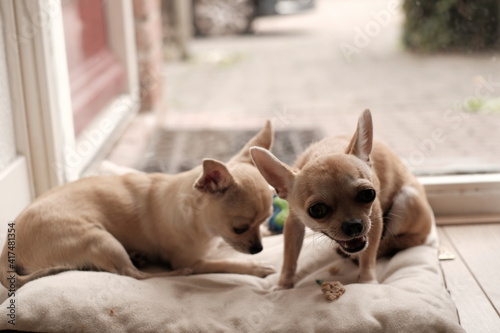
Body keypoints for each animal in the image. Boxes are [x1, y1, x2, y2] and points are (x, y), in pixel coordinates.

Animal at [1, 122, 276, 288]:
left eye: (264, 220)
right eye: (239, 229)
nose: (259, 249)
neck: (205, 228)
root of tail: (7, 248)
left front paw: (270, 233)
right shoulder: (195, 260)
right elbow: (225, 263)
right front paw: (256, 267)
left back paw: (139, 257)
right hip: (100, 239)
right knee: (134, 275)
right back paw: (173, 274)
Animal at [252, 110, 432, 286]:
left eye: (368, 194)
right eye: (316, 210)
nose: (353, 225)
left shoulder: (374, 219)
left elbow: (369, 255)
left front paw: (367, 282)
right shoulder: (293, 222)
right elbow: (289, 257)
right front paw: (283, 285)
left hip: (407, 199)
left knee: (396, 241)